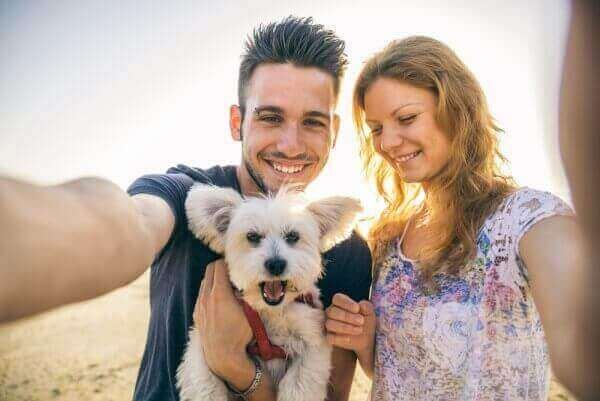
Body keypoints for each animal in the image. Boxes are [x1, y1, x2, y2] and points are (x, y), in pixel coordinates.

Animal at [175, 184, 360, 400]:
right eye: (252, 236)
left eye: (293, 236)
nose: (276, 264)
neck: (270, 312)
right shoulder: (203, 340)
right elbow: (204, 381)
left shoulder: (313, 339)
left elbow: (299, 384)